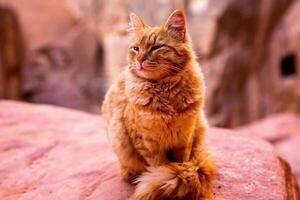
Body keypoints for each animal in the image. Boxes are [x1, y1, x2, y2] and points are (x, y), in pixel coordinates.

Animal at [102, 9, 217, 200]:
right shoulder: (148, 144)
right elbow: (159, 167)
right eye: (136, 48)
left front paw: (183, 180)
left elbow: (181, 164)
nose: (140, 60)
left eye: (157, 47)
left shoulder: (185, 138)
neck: (165, 92)